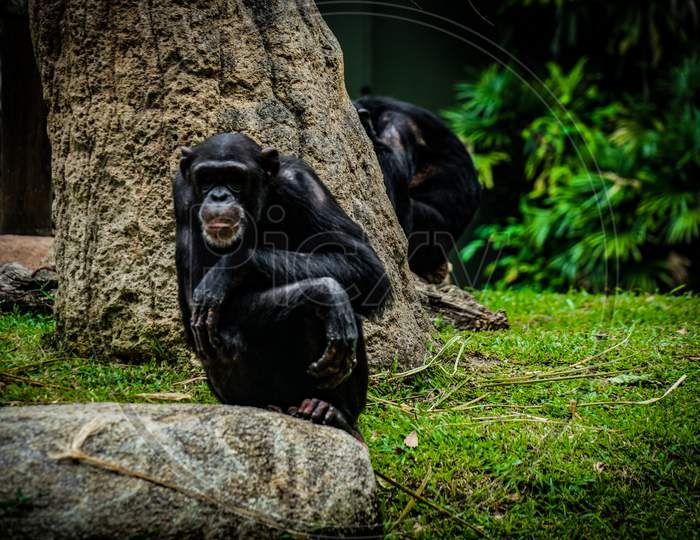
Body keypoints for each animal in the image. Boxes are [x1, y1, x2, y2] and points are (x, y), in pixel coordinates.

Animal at [170, 133, 388, 440]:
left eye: (234, 179)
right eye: (207, 179)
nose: (218, 196)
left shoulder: (304, 183)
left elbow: (365, 265)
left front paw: (233, 266)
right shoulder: (183, 197)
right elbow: (195, 303)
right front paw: (323, 292)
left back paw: (331, 413)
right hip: (234, 394)